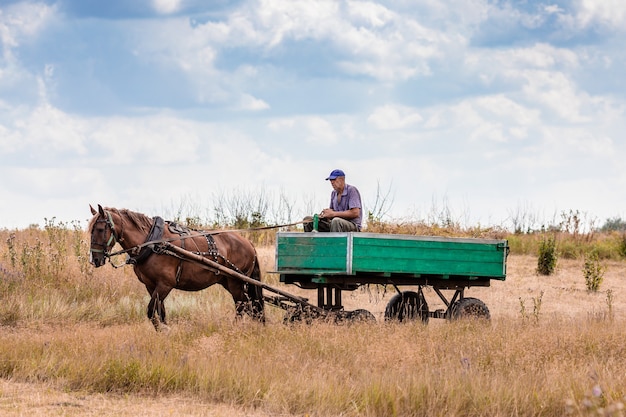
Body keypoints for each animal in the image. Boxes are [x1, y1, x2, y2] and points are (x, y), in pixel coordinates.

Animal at [88, 203, 264, 330]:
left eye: (100, 229)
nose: (94, 259)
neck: (152, 242)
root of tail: (248, 243)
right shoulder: (151, 285)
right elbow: (161, 312)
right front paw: (164, 331)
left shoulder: (165, 284)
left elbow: (151, 310)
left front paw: (164, 330)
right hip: (229, 281)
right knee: (248, 306)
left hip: (236, 282)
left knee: (243, 306)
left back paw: (235, 330)